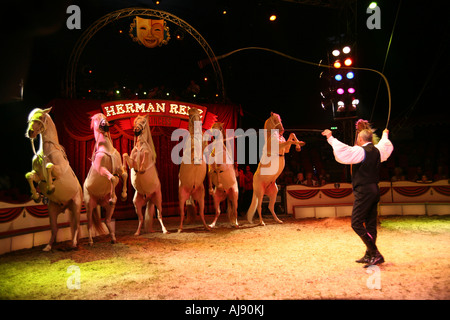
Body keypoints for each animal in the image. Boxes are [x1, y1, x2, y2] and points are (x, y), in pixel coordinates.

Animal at [25, 109, 82, 251]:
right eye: (30, 118)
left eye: (40, 117)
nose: (30, 132)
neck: (46, 153)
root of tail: (65, 206)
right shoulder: (38, 176)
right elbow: (29, 176)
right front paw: (36, 196)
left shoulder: (59, 170)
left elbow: (49, 166)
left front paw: (51, 188)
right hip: (52, 211)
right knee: (55, 229)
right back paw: (48, 246)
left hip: (76, 206)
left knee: (77, 225)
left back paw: (74, 244)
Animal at [82, 113, 127, 245]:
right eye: (97, 120)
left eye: (105, 117)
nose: (105, 123)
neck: (107, 150)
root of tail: (98, 201)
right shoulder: (102, 169)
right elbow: (112, 178)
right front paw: (114, 197)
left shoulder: (118, 168)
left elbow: (124, 175)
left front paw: (123, 195)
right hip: (89, 206)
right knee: (89, 223)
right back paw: (90, 241)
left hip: (108, 207)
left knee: (107, 221)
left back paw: (113, 238)